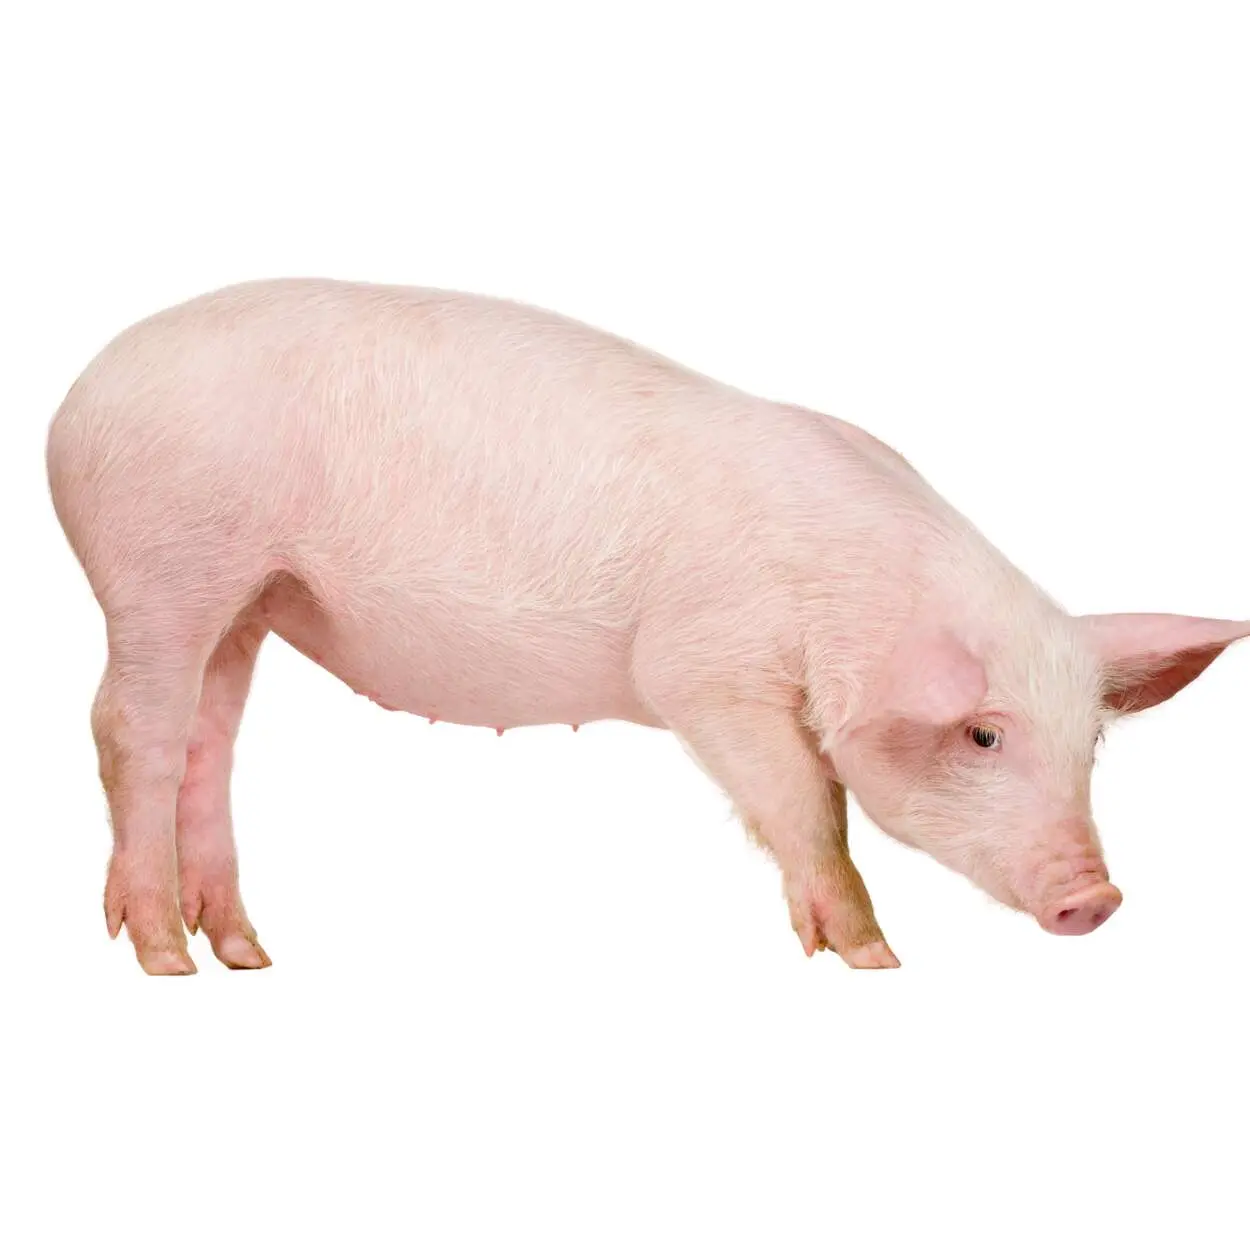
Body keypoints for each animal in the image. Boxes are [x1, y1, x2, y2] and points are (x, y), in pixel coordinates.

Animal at [46, 279, 1248, 974]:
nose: (1097, 897)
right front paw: (871, 960)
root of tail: (79, 395)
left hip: (248, 595)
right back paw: (163, 958)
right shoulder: (700, 667)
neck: (846, 598)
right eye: (984, 733)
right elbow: (804, 802)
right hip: (161, 566)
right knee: (126, 727)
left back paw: (246, 953)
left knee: (208, 739)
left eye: (1089, 745)